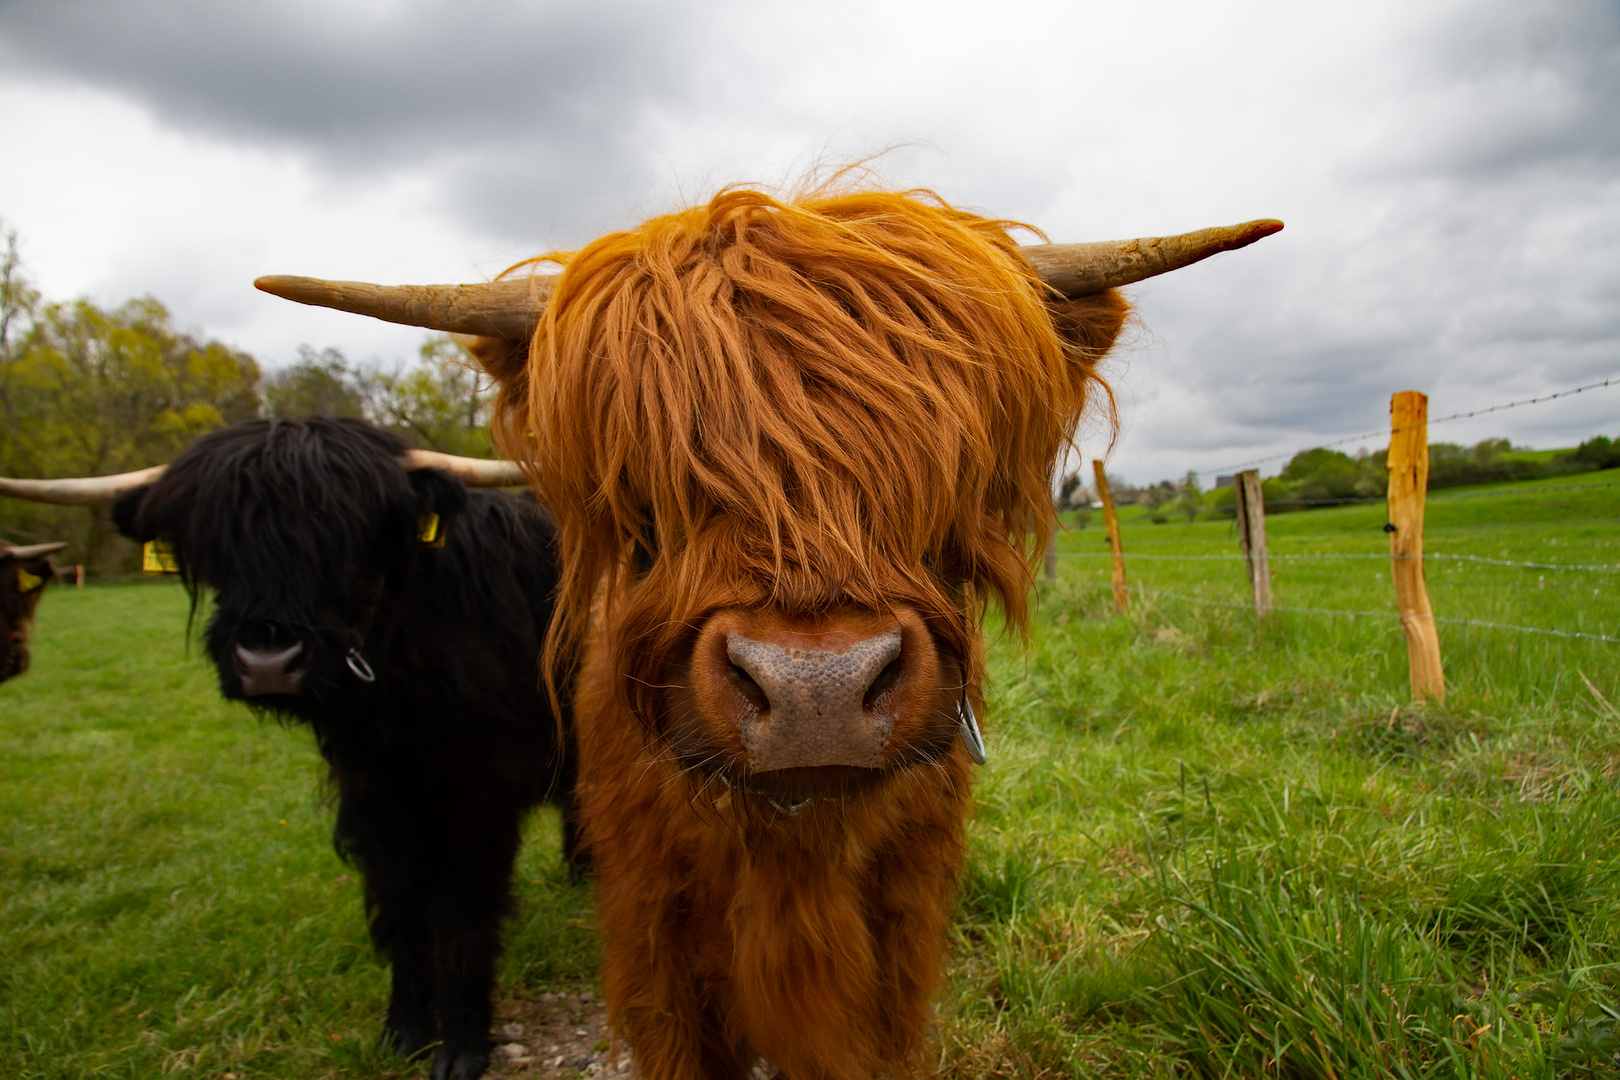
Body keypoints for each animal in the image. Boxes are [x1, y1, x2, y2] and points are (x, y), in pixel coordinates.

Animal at [3, 417, 576, 1080]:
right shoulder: (371, 797)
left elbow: (463, 915)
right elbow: (401, 911)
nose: (268, 661)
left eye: (348, 540)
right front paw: (404, 1032)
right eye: (219, 545)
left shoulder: (476, 795)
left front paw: (461, 1045)